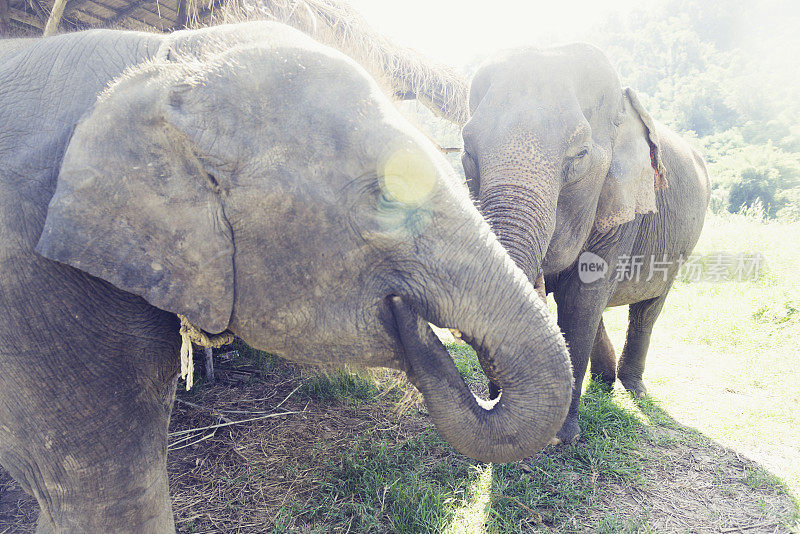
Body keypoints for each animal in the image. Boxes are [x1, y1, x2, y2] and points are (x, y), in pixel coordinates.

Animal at [460, 42, 708, 446]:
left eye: (579, 155)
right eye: (467, 150)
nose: (493, 399)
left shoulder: (622, 211)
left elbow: (580, 299)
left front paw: (561, 437)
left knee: (646, 309)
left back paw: (633, 388)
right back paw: (605, 382)